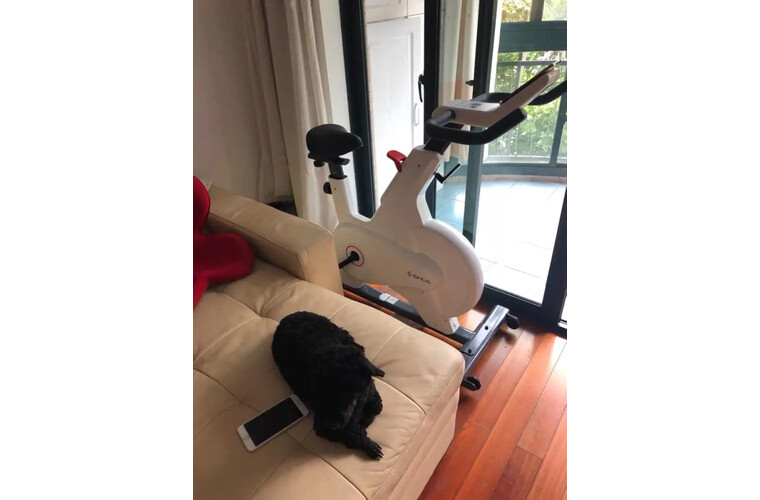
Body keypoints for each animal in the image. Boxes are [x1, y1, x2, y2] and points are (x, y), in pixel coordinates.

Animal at [272, 311, 385, 459]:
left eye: (348, 394)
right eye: (320, 391)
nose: (332, 425)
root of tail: (290, 315)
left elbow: (375, 405)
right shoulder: (323, 425)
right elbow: (350, 433)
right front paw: (367, 443)